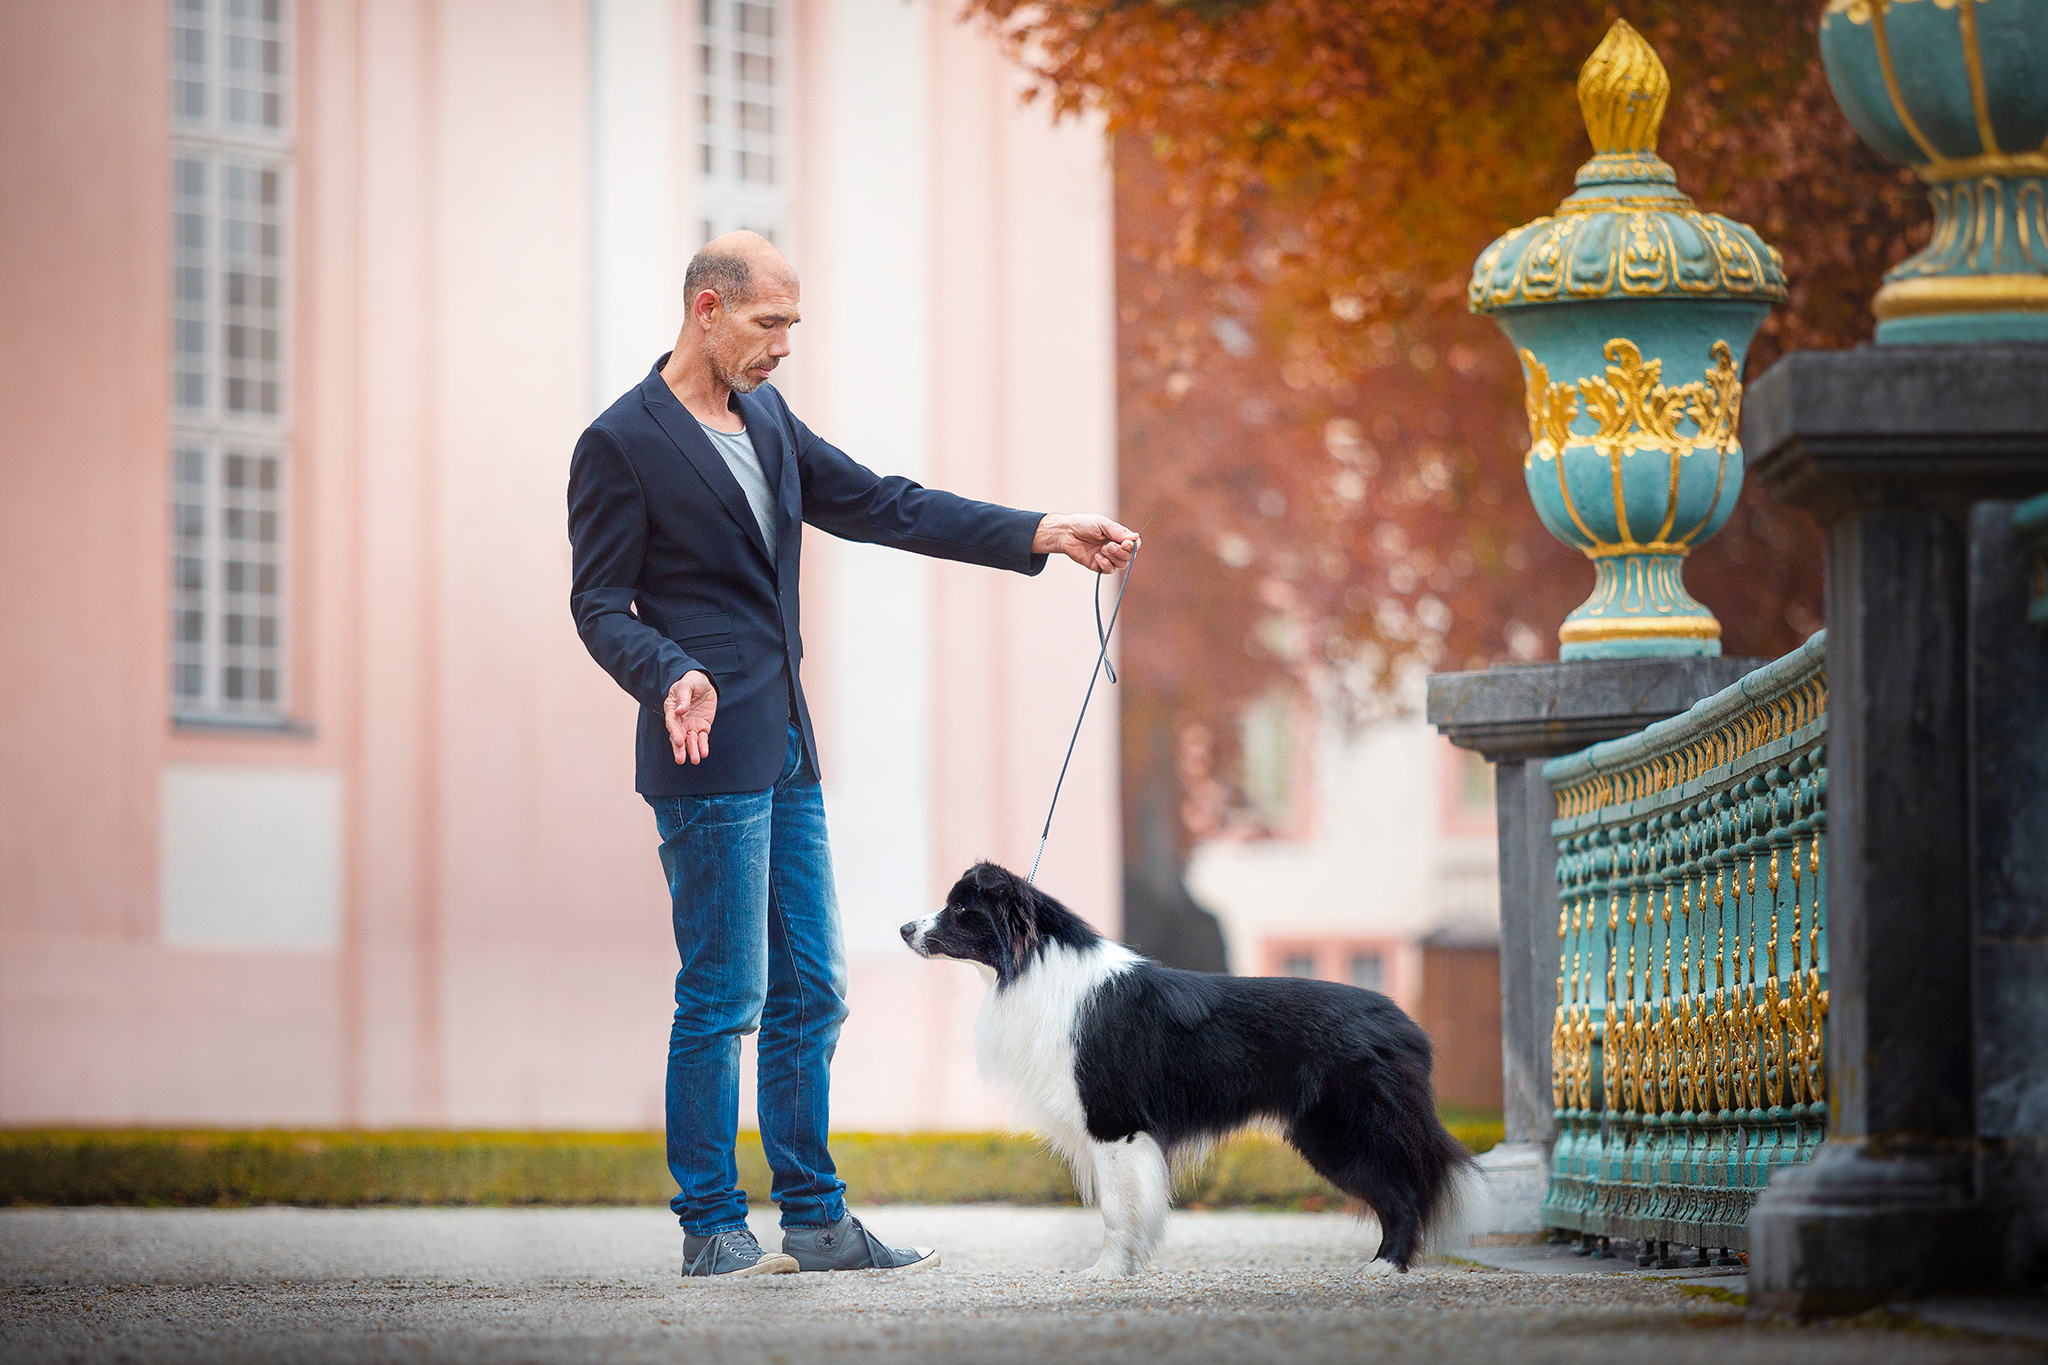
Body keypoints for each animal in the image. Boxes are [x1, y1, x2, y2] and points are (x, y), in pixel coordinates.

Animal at [905, 863, 1466, 1285]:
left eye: (961, 909)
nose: (904, 929)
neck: (1034, 966)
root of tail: (1407, 1026)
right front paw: (1127, 1269)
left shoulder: (1113, 1124)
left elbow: (1115, 1209)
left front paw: (1105, 1274)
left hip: (1344, 1132)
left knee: (1403, 1196)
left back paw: (1384, 1267)